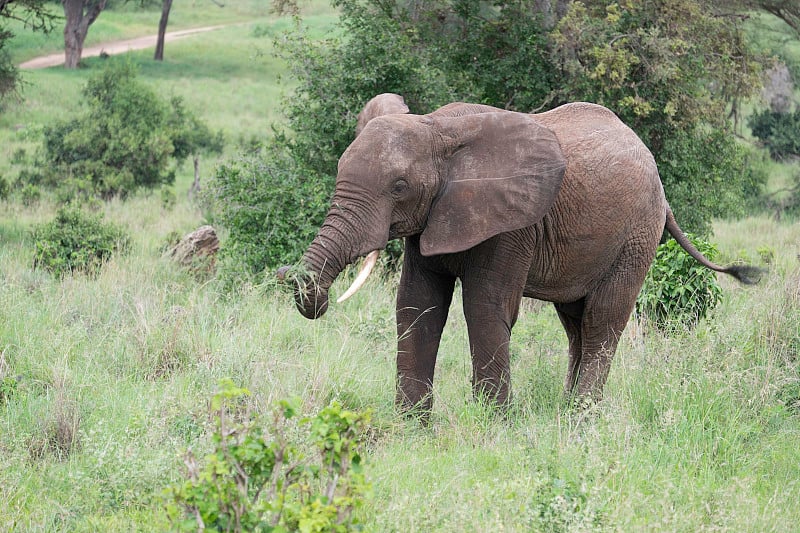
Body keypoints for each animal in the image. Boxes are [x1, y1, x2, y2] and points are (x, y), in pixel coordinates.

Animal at [278, 93, 760, 414]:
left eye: (399, 187)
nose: (292, 278)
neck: (437, 129)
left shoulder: (513, 225)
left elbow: (485, 307)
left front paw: (490, 425)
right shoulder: (434, 218)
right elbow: (416, 305)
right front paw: (412, 426)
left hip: (636, 236)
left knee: (602, 319)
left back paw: (582, 418)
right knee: (575, 324)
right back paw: (565, 411)